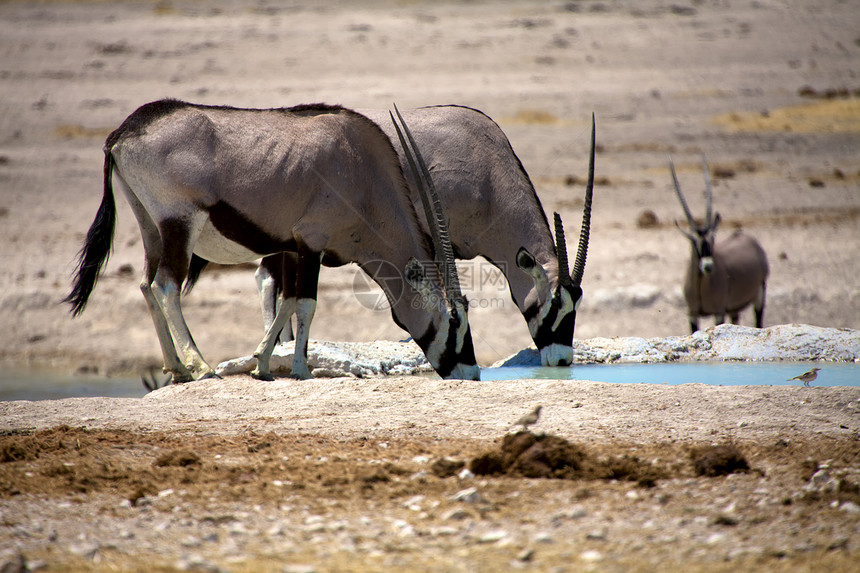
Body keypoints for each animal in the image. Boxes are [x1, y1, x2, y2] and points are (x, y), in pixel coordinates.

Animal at [65, 99, 484, 380]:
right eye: (453, 320)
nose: (471, 372)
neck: (363, 172)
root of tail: (124, 132)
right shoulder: (312, 242)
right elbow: (306, 304)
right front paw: (301, 369)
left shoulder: (292, 246)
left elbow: (286, 302)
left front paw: (263, 365)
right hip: (179, 223)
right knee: (166, 285)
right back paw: (199, 366)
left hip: (150, 225)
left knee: (146, 285)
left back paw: (177, 369)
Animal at [668, 158, 768, 336]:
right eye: (693, 241)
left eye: (713, 238)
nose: (708, 266)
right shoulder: (692, 314)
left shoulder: (719, 312)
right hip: (734, 308)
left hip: (759, 295)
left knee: (758, 322)